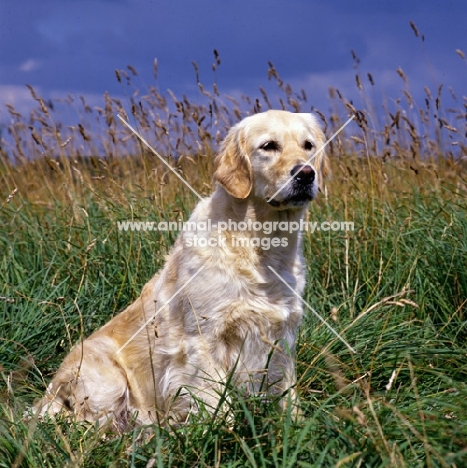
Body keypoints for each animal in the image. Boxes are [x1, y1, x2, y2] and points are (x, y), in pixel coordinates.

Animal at [34, 109, 330, 428]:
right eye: (269, 146)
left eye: (308, 145)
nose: (306, 173)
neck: (261, 249)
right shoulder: (201, 339)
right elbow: (216, 401)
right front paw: (223, 433)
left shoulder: (281, 336)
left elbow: (287, 392)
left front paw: (297, 424)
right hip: (105, 380)